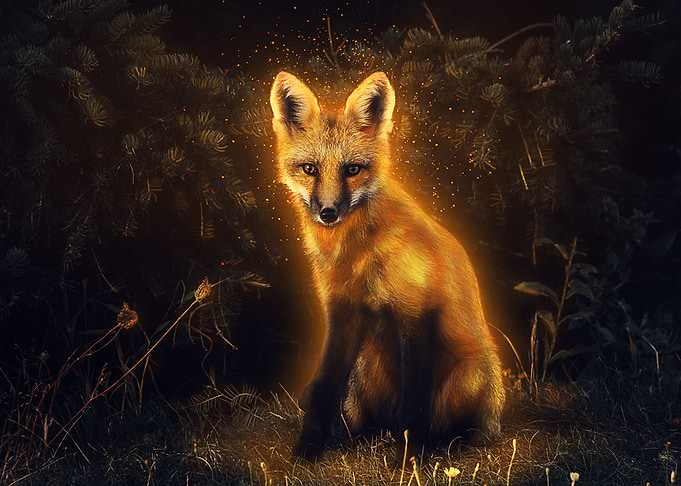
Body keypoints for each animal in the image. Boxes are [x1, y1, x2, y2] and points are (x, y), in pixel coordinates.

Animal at [269, 71, 505, 462]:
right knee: (368, 419)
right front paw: (307, 450)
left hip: (470, 377)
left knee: (452, 426)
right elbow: (324, 388)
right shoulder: (343, 313)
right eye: (310, 169)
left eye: (352, 169)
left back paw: (445, 443)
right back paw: (363, 436)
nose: (328, 213)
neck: (358, 257)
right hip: (366, 368)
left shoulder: (417, 313)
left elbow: (415, 401)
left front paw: (410, 459)